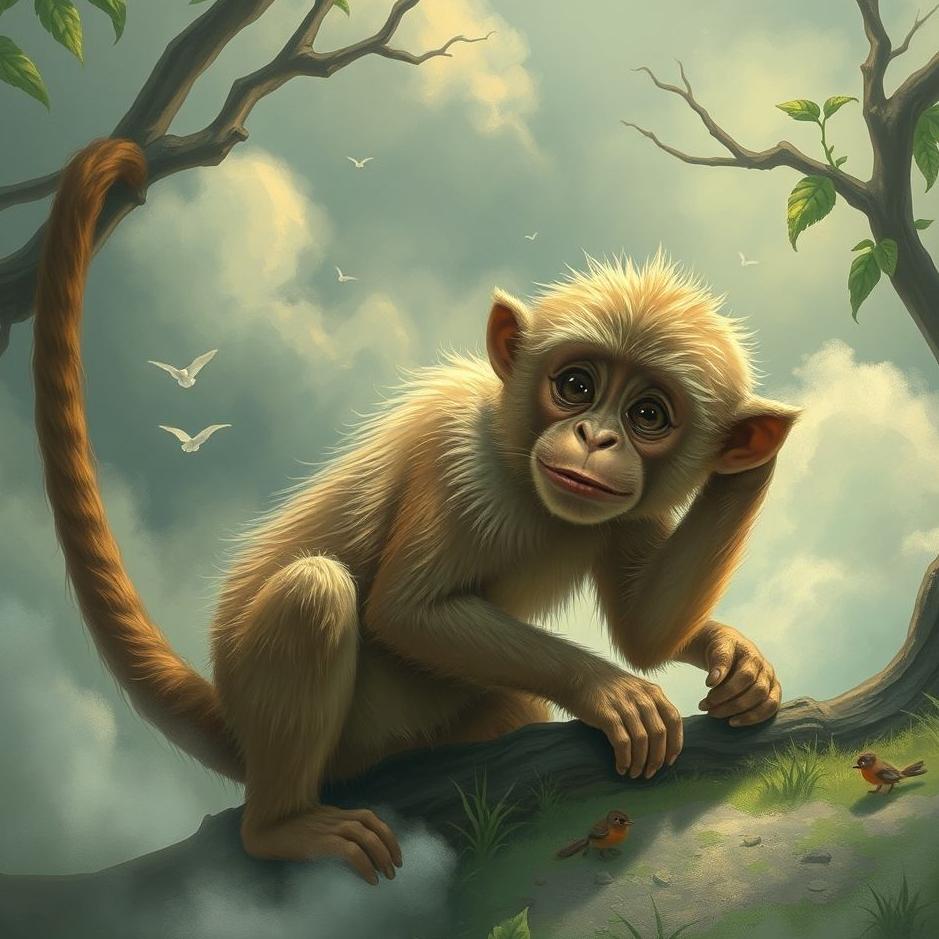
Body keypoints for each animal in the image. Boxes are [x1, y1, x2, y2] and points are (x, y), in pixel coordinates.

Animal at [32, 139, 798, 886]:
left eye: (647, 416)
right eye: (576, 385)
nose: (596, 438)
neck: (523, 472)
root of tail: (230, 714)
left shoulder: (626, 508)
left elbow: (645, 631)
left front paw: (732, 643)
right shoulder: (460, 464)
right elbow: (405, 612)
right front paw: (606, 686)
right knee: (313, 591)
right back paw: (280, 826)